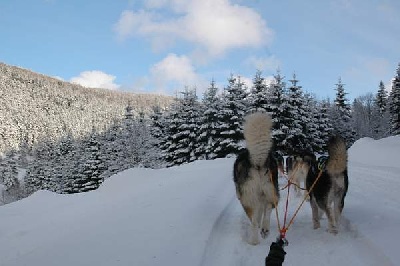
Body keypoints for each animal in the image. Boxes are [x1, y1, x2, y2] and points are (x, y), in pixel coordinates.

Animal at [233, 112, 280, 245]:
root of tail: (257, 162)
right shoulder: (261, 200)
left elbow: (256, 217)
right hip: (271, 190)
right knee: (269, 207)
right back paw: (265, 229)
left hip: (248, 198)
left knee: (253, 221)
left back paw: (254, 240)